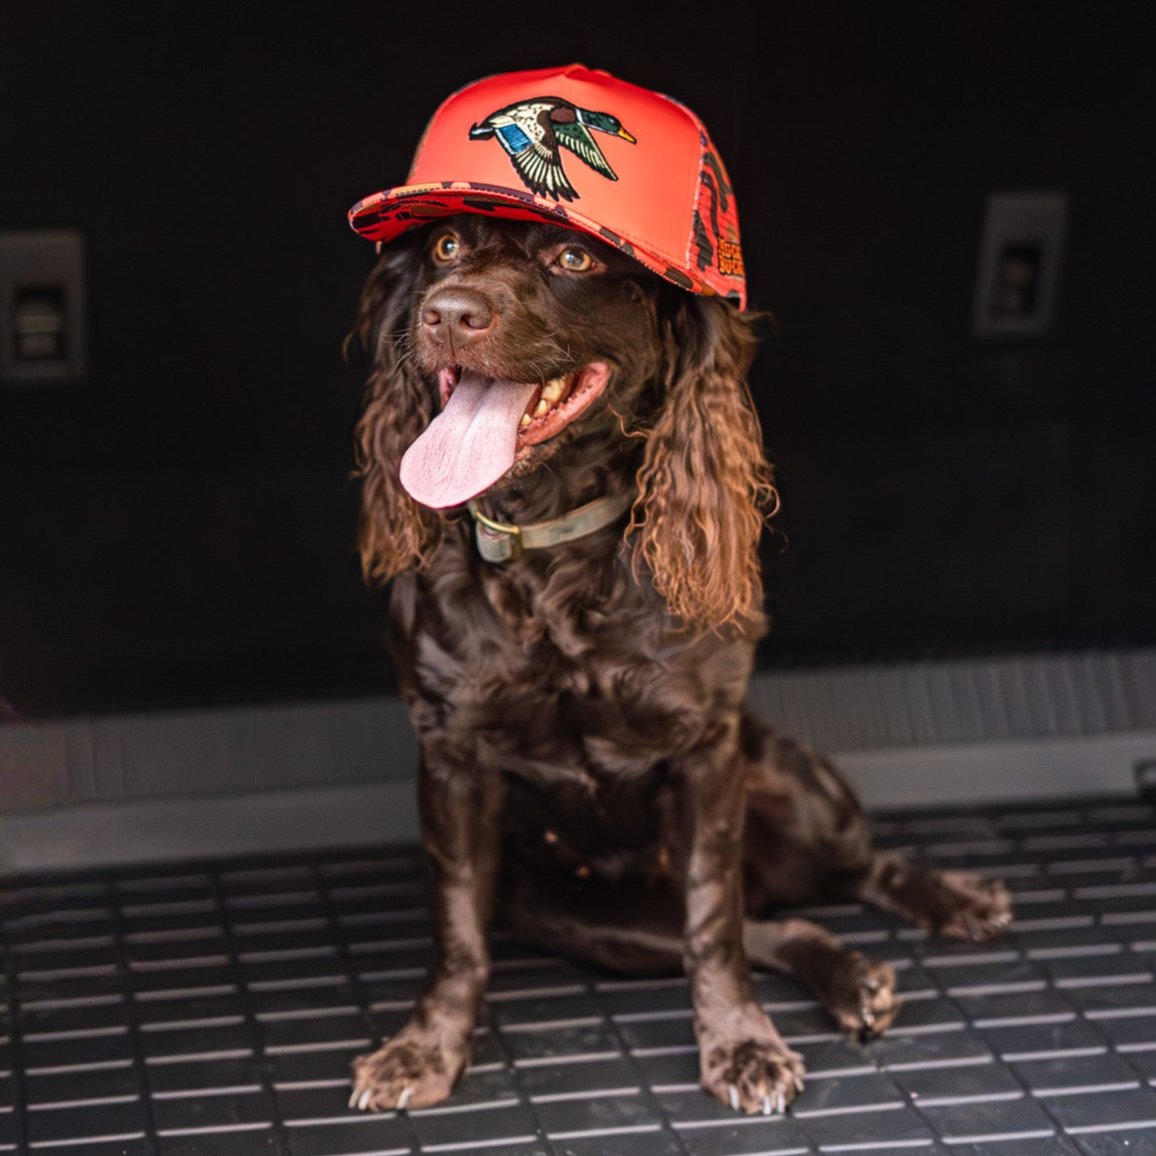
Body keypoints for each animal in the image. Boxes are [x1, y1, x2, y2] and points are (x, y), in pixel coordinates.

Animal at [339, 63, 1012, 1109]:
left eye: (573, 257)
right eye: (445, 245)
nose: (446, 311)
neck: (551, 549)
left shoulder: (706, 754)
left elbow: (713, 922)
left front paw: (739, 1045)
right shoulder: (450, 761)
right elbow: (457, 933)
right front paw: (424, 1050)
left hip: (788, 786)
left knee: (848, 868)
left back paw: (953, 900)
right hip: (590, 918)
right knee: (777, 921)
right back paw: (851, 975)